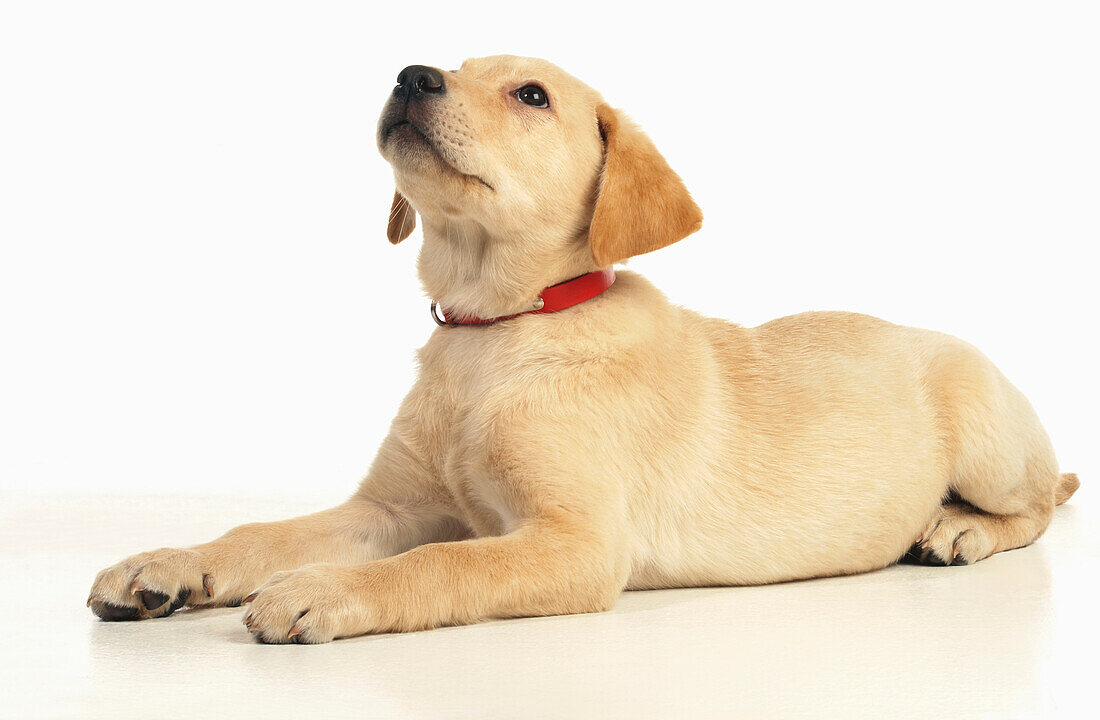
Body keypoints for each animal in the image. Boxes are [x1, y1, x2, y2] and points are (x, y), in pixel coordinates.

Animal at [88, 54, 1082, 641]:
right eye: (448, 65)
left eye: (531, 95)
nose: (411, 74)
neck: (499, 331)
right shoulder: (389, 507)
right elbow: (267, 531)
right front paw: (167, 566)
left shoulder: (576, 543)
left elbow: (441, 561)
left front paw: (322, 590)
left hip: (987, 435)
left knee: (1039, 504)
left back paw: (955, 527)